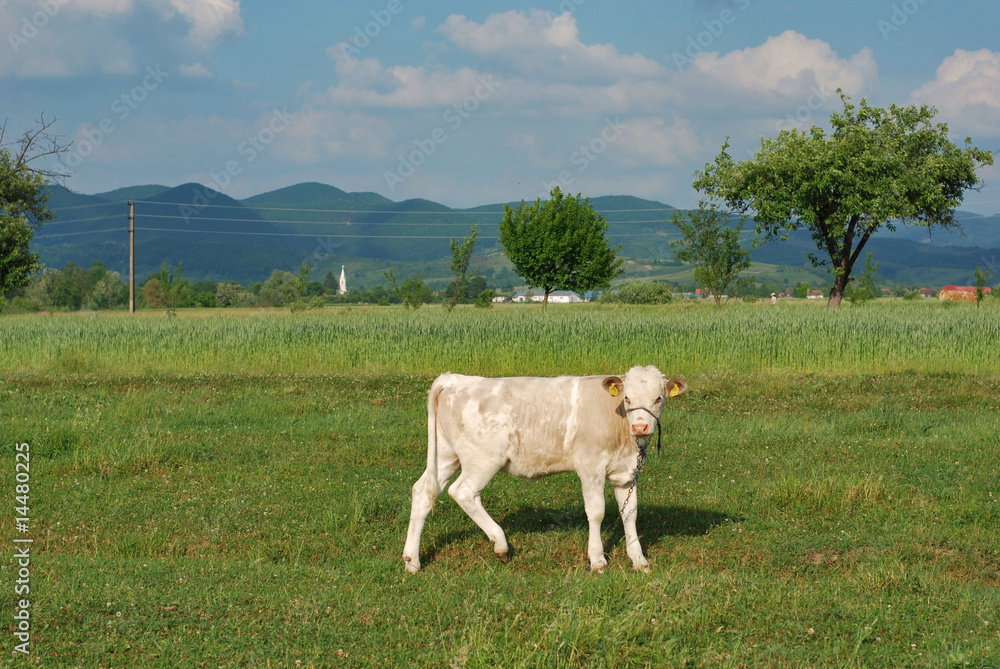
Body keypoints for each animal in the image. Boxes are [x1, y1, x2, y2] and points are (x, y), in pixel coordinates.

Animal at [402, 365, 687, 573]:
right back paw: (500, 544)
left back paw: (412, 560)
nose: (640, 427)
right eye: (627, 398)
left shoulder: (626, 473)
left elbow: (630, 513)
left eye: (658, 398)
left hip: (446, 456)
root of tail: (455, 379)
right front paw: (597, 560)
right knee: (463, 492)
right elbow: (596, 512)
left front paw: (638, 559)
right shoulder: (591, 466)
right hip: (482, 459)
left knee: (423, 491)